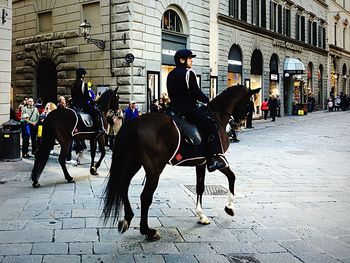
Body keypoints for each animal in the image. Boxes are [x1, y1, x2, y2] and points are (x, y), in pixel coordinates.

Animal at [101, 85, 260, 242]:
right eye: (248, 103)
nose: (239, 123)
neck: (216, 117)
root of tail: (133, 123)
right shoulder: (217, 159)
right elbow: (232, 177)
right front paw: (229, 208)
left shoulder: (201, 162)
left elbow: (200, 187)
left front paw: (201, 215)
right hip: (154, 169)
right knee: (145, 197)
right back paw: (147, 231)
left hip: (134, 163)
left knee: (123, 185)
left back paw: (128, 218)